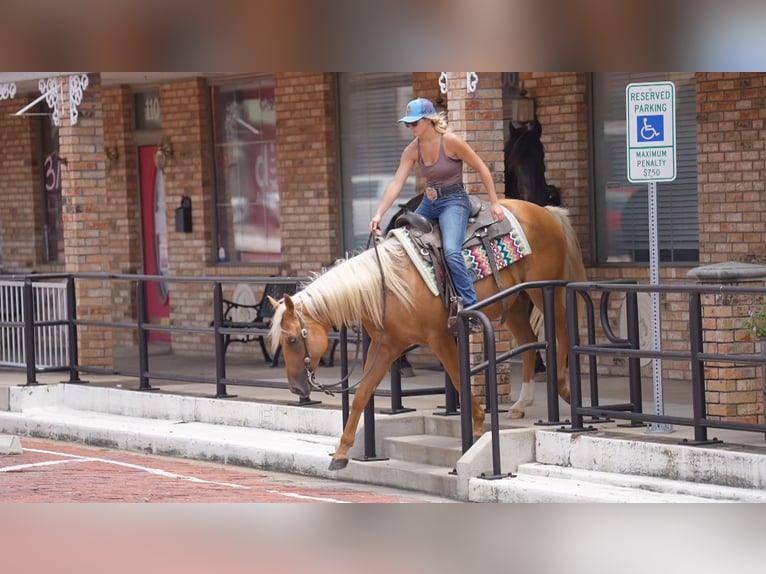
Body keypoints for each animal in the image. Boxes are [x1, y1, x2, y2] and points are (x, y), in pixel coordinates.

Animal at [268, 199, 586, 471]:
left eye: (293, 339)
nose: (295, 389)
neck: (388, 286)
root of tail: (544, 211)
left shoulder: (439, 338)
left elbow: (458, 378)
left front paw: (478, 426)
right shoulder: (385, 348)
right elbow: (362, 394)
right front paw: (342, 453)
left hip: (545, 289)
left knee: (562, 331)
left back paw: (563, 388)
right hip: (516, 301)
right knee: (529, 342)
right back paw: (521, 404)